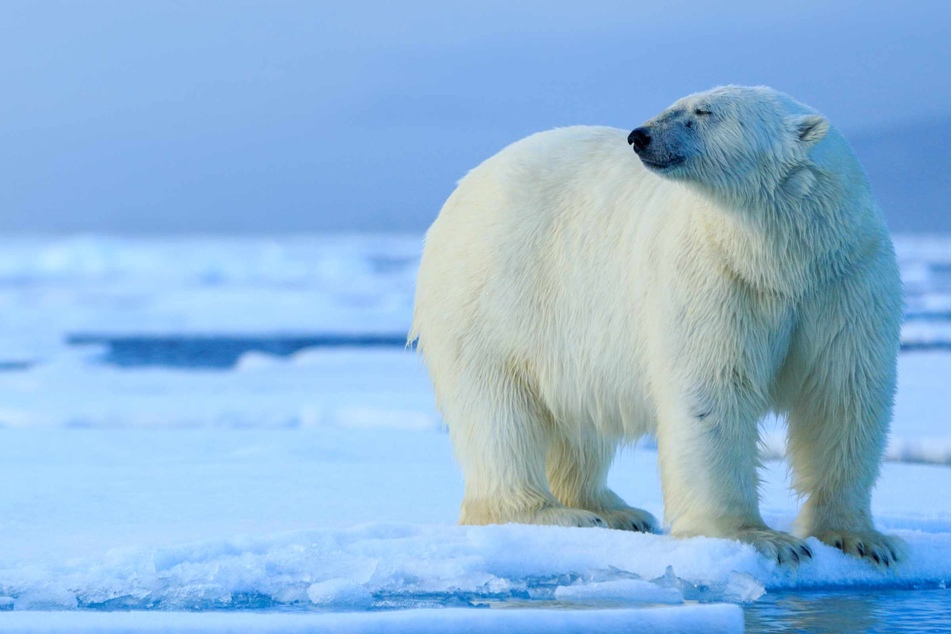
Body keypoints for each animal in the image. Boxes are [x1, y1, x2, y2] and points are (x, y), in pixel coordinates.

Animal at [410, 85, 903, 566]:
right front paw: (761, 539)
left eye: (704, 111)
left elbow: (842, 393)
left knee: (576, 420)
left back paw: (615, 510)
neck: (780, 258)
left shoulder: (844, 280)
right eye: (676, 104)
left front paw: (860, 539)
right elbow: (713, 390)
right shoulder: (715, 274)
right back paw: (551, 512)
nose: (639, 136)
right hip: (492, 298)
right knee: (498, 412)